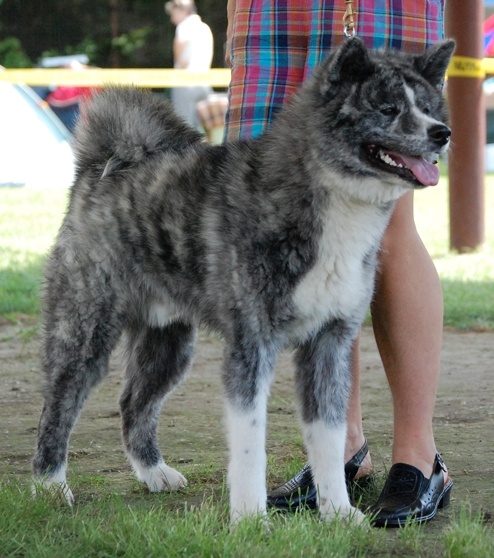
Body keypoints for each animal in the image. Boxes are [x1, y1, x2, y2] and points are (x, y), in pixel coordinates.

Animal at [32, 38, 454, 524]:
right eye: (388, 109)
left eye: (428, 107)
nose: (442, 132)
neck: (328, 199)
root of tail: (100, 167)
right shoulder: (252, 345)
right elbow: (251, 442)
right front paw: (251, 517)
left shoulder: (330, 342)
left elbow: (328, 439)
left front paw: (338, 513)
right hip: (85, 330)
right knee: (58, 406)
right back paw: (49, 486)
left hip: (168, 344)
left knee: (133, 404)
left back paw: (154, 473)